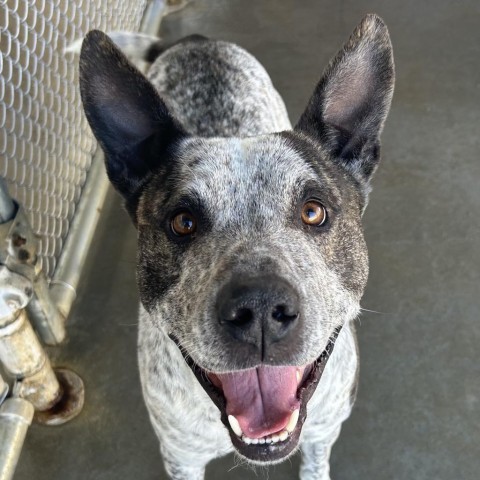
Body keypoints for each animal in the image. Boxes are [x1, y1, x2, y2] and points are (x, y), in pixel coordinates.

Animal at [79, 13, 394, 478]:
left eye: (313, 212)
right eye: (183, 222)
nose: (259, 309)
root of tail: (194, 40)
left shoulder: (324, 431)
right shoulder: (181, 457)